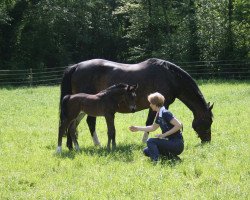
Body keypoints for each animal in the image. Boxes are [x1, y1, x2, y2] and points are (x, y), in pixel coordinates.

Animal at [59, 57, 214, 149]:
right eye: (208, 121)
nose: (207, 141)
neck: (170, 77)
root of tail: (76, 66)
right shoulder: (159, 105)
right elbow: (151, 122)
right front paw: (145, 141)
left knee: (73, 124)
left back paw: (71, 146)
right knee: (87, 123)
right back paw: (96, 144)